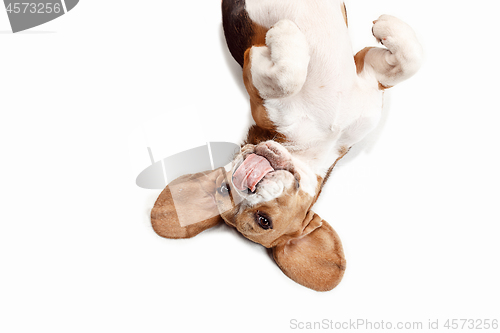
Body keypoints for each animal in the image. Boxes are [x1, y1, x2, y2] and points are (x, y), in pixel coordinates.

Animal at [151, 0, 422, 290]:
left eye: (263, 221)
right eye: (224, 189)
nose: (246, 184)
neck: (317, 142)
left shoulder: (370, 79)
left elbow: (410, 61)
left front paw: (387, 27)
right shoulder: (254, 68)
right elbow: (287, 78)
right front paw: (284, 32)